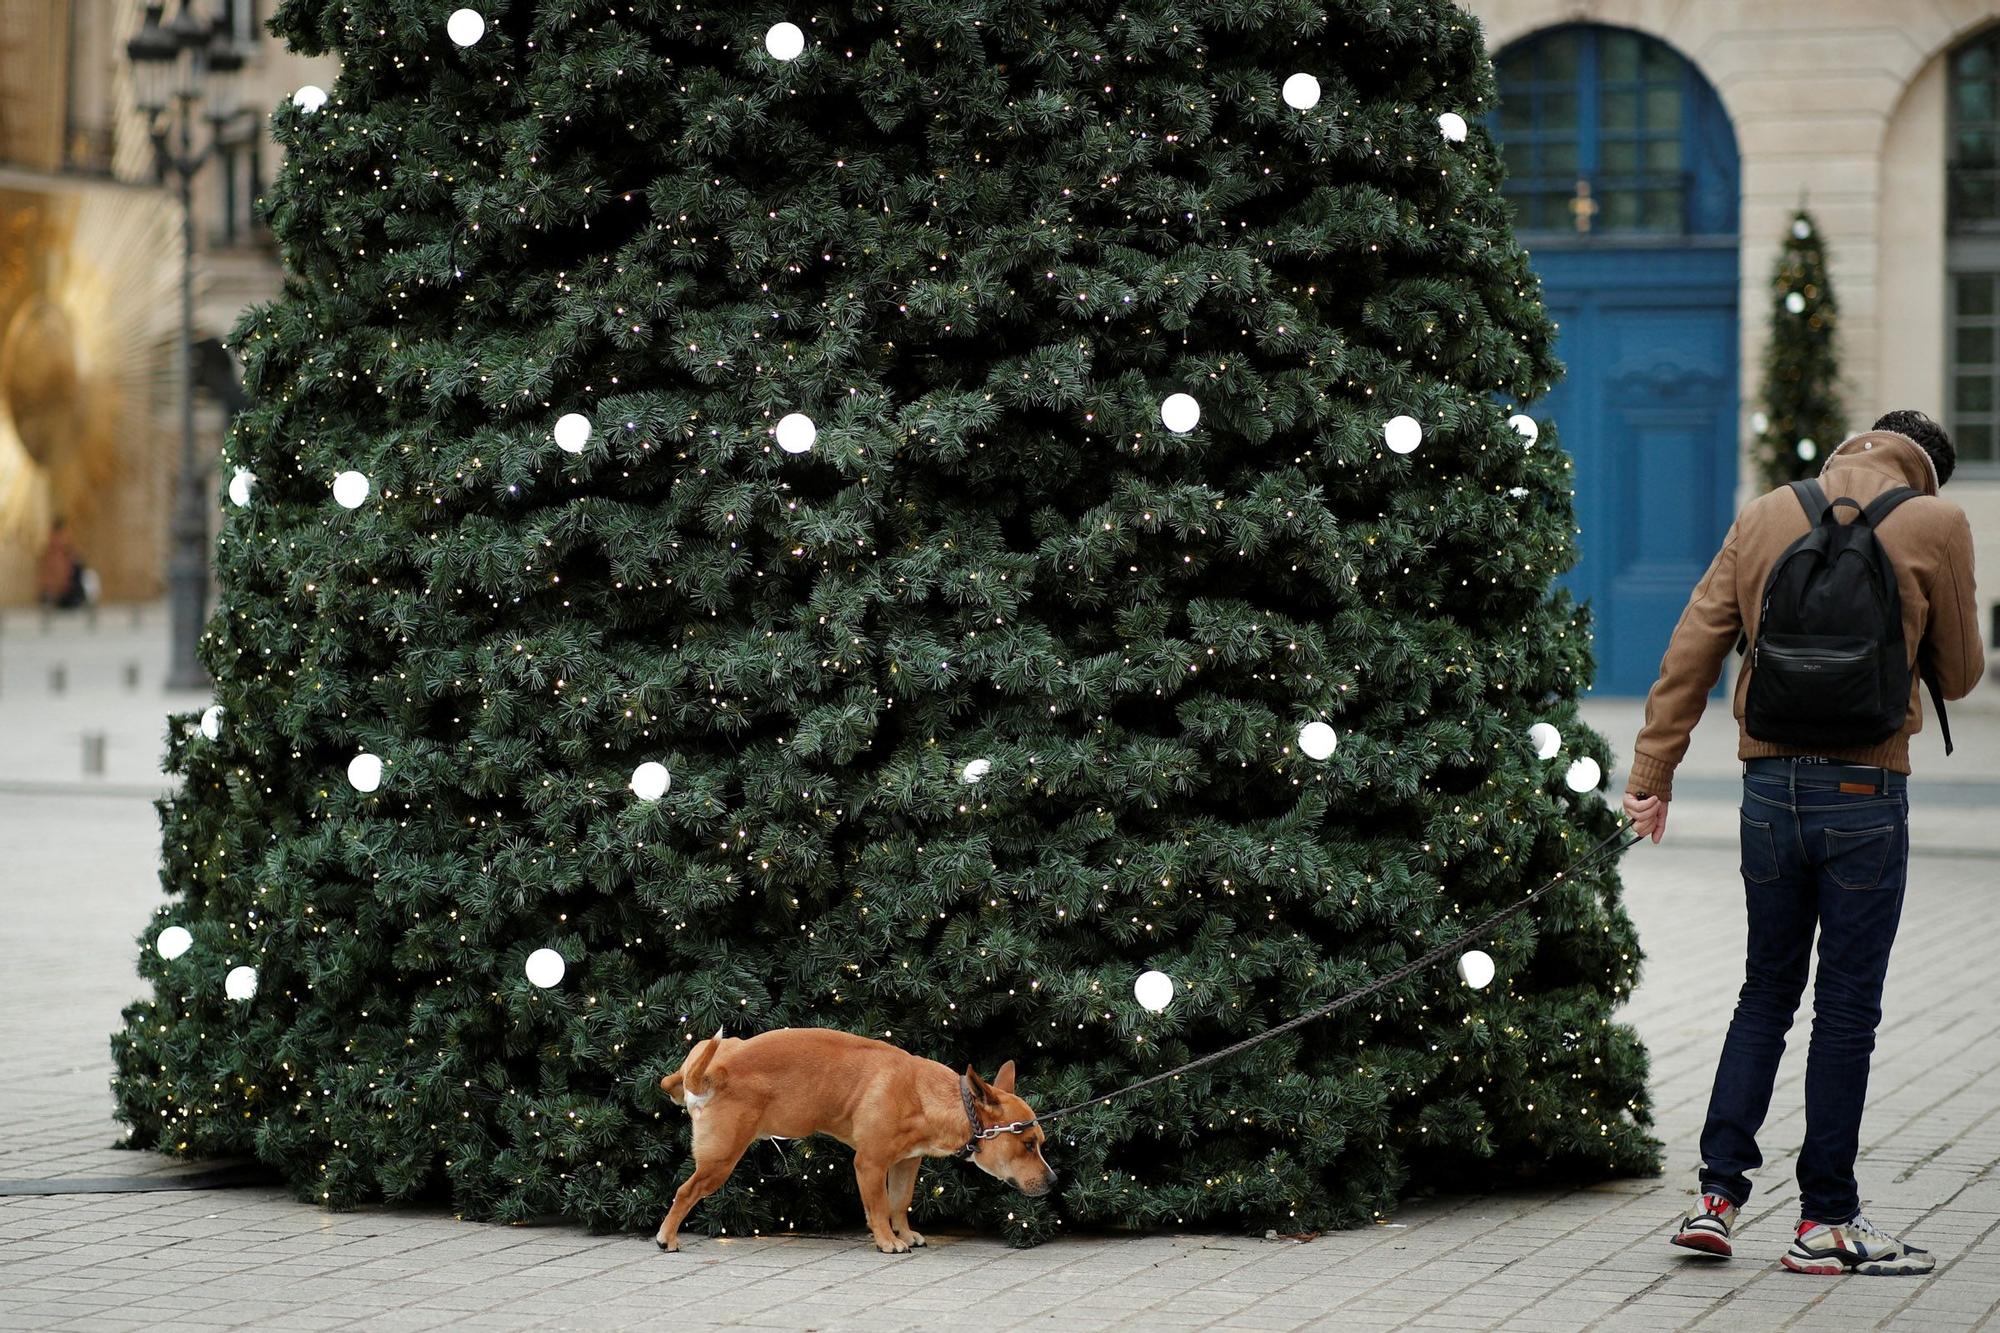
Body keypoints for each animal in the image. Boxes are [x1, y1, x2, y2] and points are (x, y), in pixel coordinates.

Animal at [656, 1020, 1064, 1248]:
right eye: (1028, 1144)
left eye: (1040, 1144)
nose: (1053, 1181)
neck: (927, 1095)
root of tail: (710, 1072)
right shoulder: (870, 1164)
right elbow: (878, 1207)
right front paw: (887, 1241)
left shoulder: (905, 1165)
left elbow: (899, 1203)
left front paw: (903, 1233)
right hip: (720, 1160)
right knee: (685, 1192)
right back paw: (667, 1237)